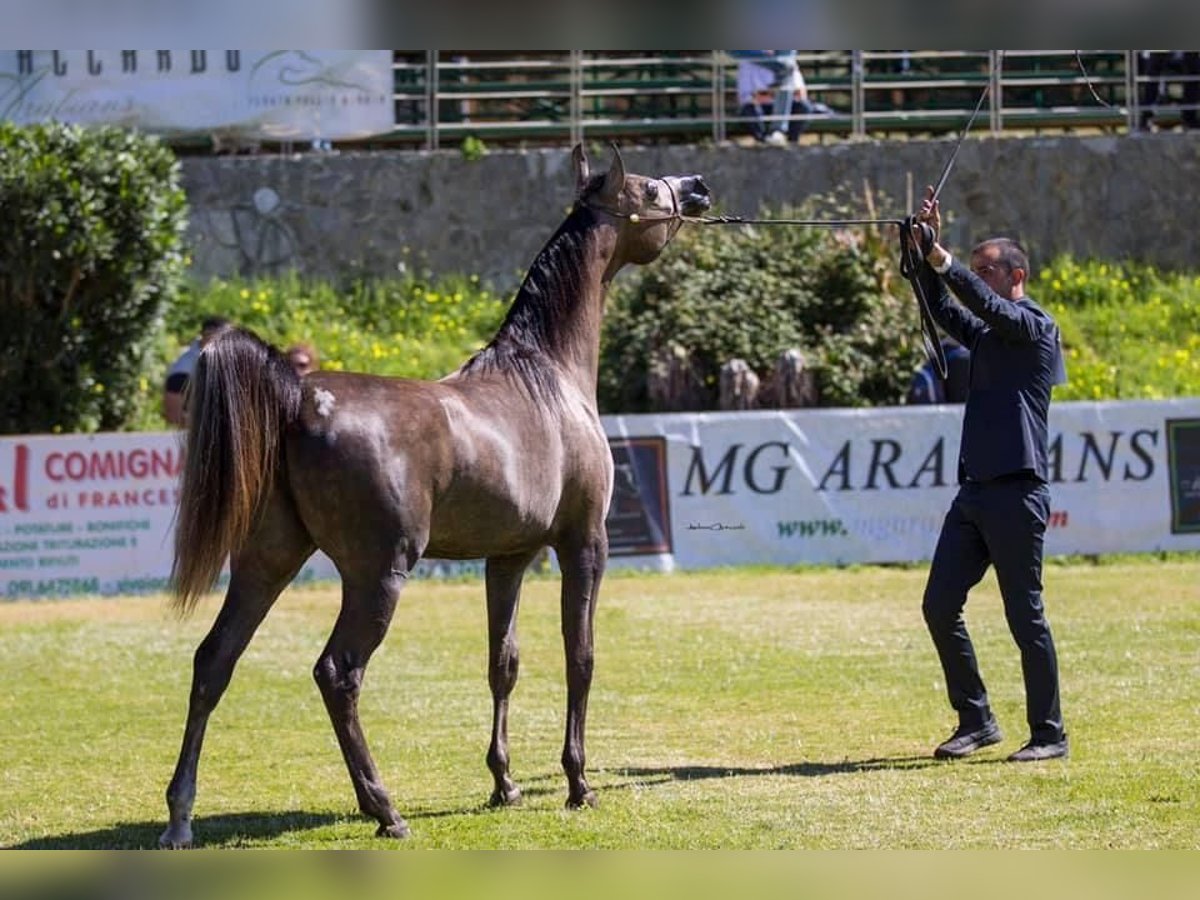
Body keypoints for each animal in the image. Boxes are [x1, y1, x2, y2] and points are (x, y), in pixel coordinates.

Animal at [154, 144, 705, 849]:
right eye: (647, 190)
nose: (697, 187)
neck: (547, 374)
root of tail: (297, 395)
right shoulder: (585, 543)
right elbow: (579, 656)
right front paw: (578, 784)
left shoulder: (509, 556)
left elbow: (504, 662)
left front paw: (505, 784)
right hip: (378, 575)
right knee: (337, 673)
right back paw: (384, 810)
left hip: (266, 562)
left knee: (214, 661)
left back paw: (181, 817)